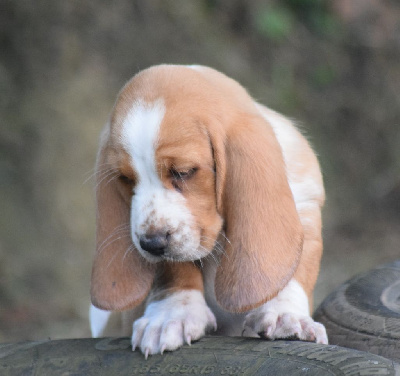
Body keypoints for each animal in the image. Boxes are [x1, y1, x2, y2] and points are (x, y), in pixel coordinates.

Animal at [89, 63, 326, 356]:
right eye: (125, 179)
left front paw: (286, 315)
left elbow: (293, 272)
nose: (150, 244)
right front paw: (171, 315)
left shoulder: (305, 208)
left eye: (183, 172)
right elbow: (175, 269)